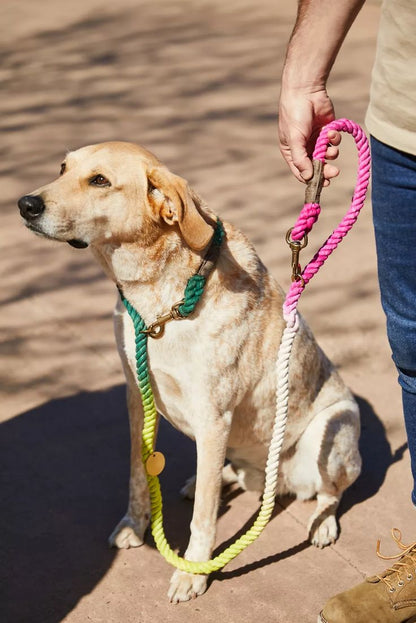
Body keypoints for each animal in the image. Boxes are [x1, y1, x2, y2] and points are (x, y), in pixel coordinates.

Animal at [17, 143, 360, 604]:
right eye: (62, 168)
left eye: (100, 181)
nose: (25, 204)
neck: (159, 303)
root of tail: (280, 482)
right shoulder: (136, 397)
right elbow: (138, 475)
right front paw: (135, 525)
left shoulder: (213, 417)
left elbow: (203, 518)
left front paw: (193, 572)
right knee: (234, 476)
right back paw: (208, 478)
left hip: (333, 429)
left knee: (329, 494)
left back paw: (321, 523)